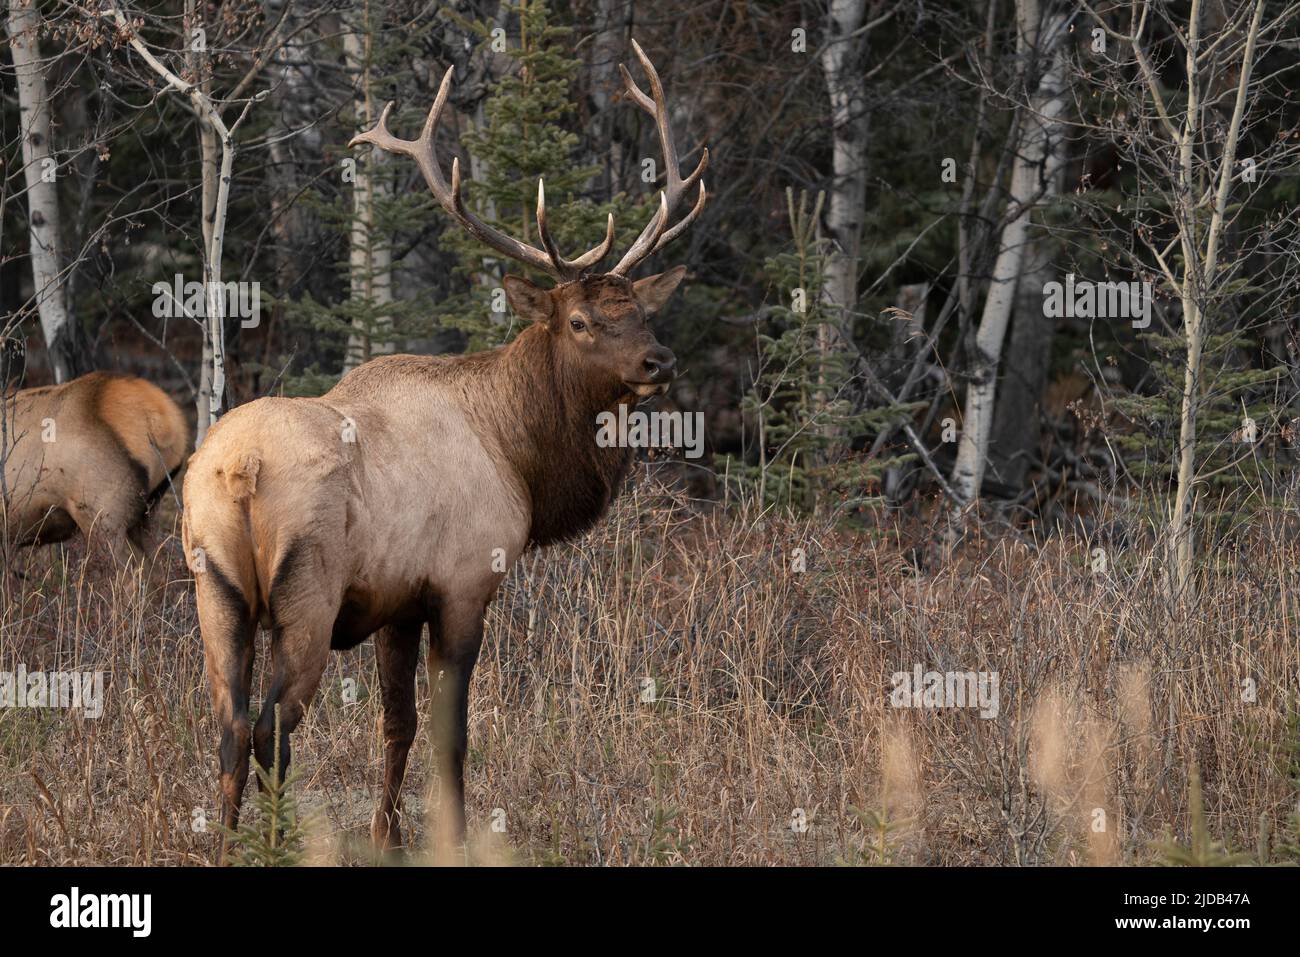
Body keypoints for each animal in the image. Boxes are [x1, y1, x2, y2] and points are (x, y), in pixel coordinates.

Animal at [182, 41, 707, 858]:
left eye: (643, 311)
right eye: (581, 321)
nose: (660, 361)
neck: (520, 457)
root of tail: (239, 470)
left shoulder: (396, 603)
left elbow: (395, 725)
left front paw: (386, 834)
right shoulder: (462, 582)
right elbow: (450, 735)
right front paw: (452, 837)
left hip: (217, 589)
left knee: (230, 725)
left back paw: (228, 844)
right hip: (305, 594)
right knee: (271, 726)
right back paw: (268, 843)